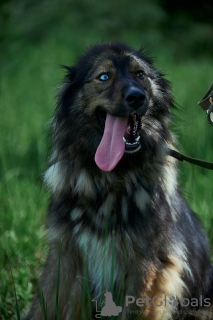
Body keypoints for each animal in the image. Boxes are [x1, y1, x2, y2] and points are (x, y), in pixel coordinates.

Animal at [24, 42, 213, 320]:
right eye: (104, 76)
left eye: (140, 74)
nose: (136, 97)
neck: (111, 181)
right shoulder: (65, 255)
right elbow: (44, 305)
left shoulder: (146, 266)